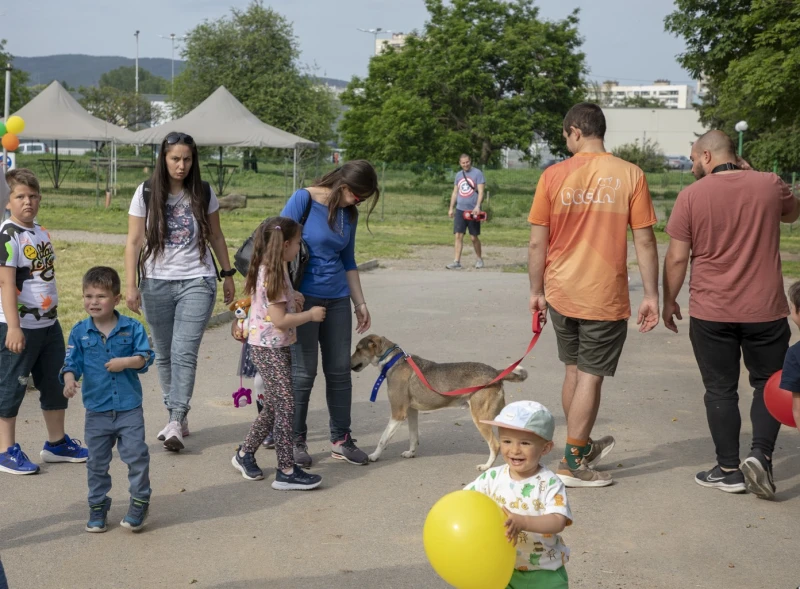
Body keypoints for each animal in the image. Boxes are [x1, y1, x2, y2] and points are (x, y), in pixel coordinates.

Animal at [352, 336, 528, 468]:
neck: (392, 360)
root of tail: (496, 373)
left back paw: (486, 467)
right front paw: (411, 453)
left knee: (495, 445)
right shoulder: (411, 411)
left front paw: (374, 456)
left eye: (358, 349)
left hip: (480, 418)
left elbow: (383, 439)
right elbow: (413, 436)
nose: (348, 364)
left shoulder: (398, 413)